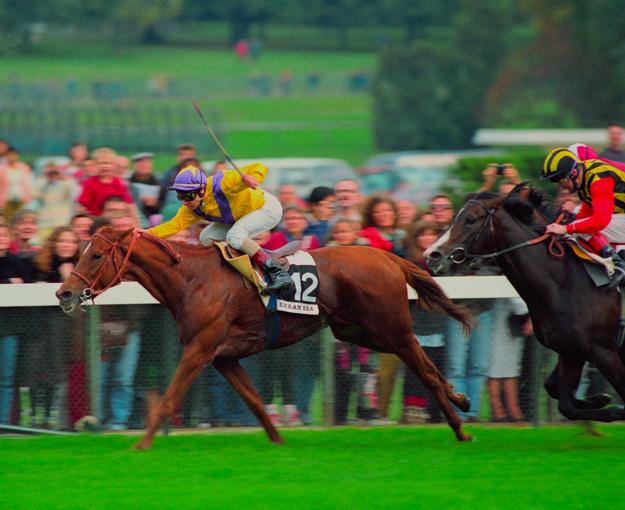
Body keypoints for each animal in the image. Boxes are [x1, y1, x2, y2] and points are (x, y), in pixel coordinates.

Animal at [57, 228, 472, 450]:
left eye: (96, 255)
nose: (64, 293)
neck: (191, 278)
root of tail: (390, 258)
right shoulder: (223, 357)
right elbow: (255, 402)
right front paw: (279, 442)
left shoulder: (199, 350)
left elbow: (169, 399)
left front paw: (140, 446)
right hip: (360, 332)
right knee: (427, 367)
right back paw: (460, 399)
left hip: (391, 329)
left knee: (426, 372)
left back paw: (460, 425)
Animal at [424, 183, 624, 422]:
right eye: (454, 216)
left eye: (470, 219)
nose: (432, 254)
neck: (564, 281)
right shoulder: (571, 350)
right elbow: (562, 399)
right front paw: (603, 400)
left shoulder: (605, 352)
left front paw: (612, 407)